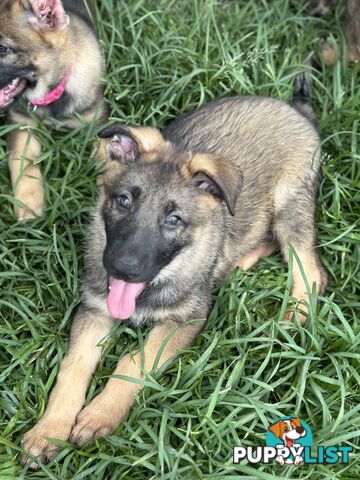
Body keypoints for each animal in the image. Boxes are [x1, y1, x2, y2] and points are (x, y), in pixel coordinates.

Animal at [21, 76, 328, 468]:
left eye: (173, 220)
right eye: (124, 201)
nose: (122, 269)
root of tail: (295, 108)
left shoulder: (185, 320)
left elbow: (135, 361)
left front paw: (100, 414)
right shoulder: (94, 309)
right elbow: (73, 368)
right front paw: (49, 431)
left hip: (290, 204)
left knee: (310, 270)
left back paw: (291, 320)